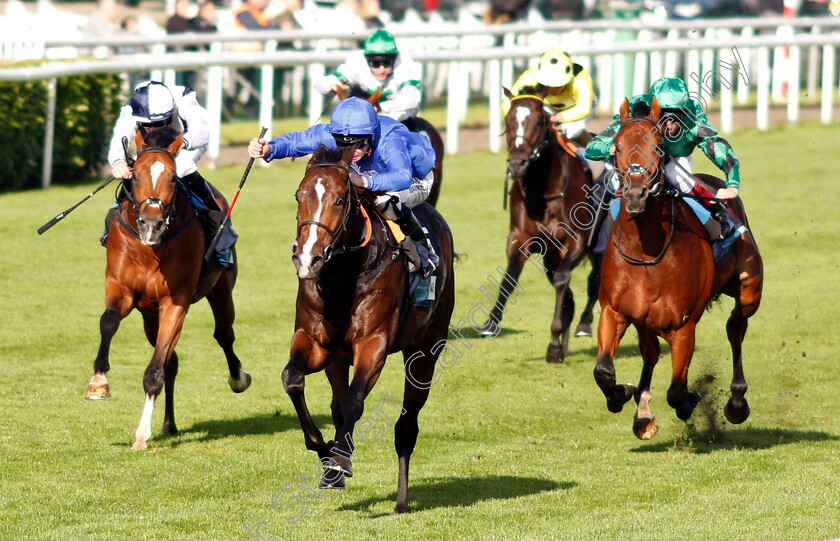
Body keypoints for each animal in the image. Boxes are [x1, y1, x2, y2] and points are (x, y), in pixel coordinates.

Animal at [88, 125, 253, 448]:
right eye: (135, 175)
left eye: (173, 178)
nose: (152, 225)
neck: (150, 249)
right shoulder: (121, 289)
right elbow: (108, 321)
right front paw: (98, 382)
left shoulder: (175, 302)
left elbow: (155, 370)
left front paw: (141, 435)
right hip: (149, 315)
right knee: (172, 361)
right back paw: (168, 424)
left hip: (221, 290)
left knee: (223, 334)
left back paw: (238, 379)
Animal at [280, 143, 452, 510]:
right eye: (299, 196)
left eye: (339, 200)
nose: (307, 259)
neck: (344, 273)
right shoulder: (316, 342)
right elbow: (293, 380)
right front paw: (324, 452)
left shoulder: (373, 344)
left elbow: (353, 402)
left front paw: (340, 459)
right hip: (337, 358)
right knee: (336, 401)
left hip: (426, 350)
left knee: (406, 425)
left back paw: (401, 500)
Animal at [480, 86, 604, 360]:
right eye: (508, 120)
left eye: (539, 121)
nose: (517, 164)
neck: (546, 190)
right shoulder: (522, 237)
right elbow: (510, 278)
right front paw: (491, 323)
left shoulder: (576, 241)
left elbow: (562, 280)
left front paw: (555, 339)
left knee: (595, 281)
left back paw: (584, 323)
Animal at [592, 95, 764, 436]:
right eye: (616, 146)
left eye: (659, 146)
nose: (636, 194)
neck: (647, 254)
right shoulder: (614, 312)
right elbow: (603, 370)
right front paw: (623, 394)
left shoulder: (683, 327)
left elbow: (676, 390)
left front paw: (689, 400)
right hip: (643, 320)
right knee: (651, 351)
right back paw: (643, 411)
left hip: (750, 289)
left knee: (736, 326)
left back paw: (737, 402)